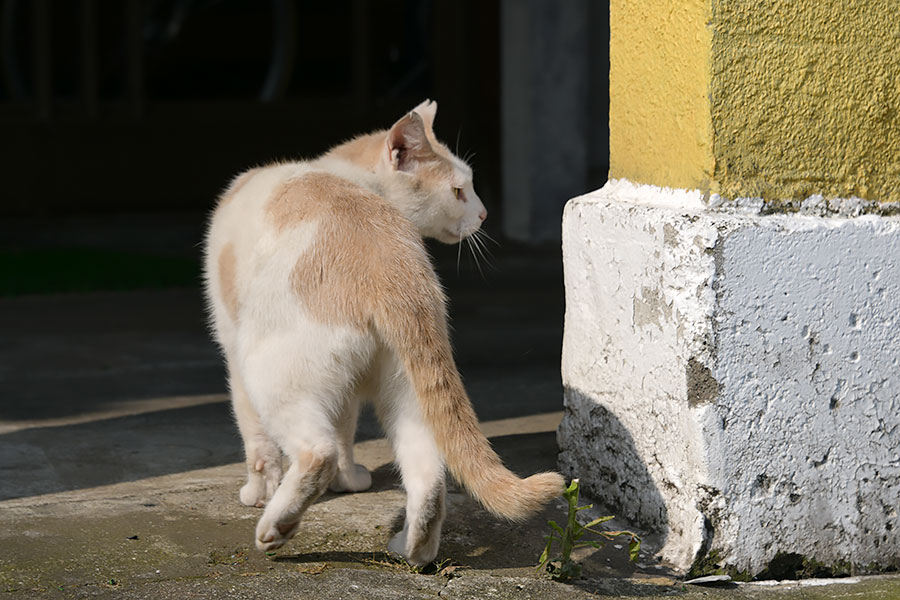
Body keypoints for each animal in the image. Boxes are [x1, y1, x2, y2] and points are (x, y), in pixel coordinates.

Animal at [204, 101, 564, 564]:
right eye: (459, 192)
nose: (485, 214)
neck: (348, 176)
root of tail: (393, 262)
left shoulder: (232, 351)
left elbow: (260, 441)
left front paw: (259, 490)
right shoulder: (347, 390)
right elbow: (345, 429)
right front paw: (350, 480)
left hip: (266, 368)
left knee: (316, 450)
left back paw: (278, 526)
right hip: (410, 391)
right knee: (429, 475)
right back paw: (414, 549)